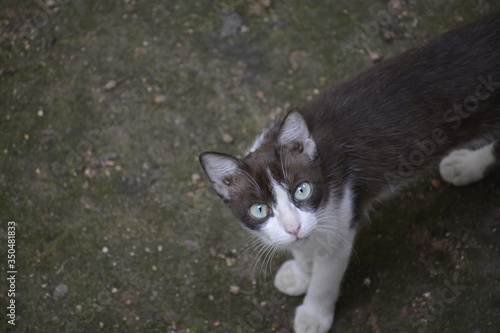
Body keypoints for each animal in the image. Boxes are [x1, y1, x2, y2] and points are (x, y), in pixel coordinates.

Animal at [200, 11, 500, 330]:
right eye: (259, 210)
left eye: (301, 190)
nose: (293, 227)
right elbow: (303, 245)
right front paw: (300, 270)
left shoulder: (341, 216)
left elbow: (326, 274)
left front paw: (314, 314)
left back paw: (469, 164)